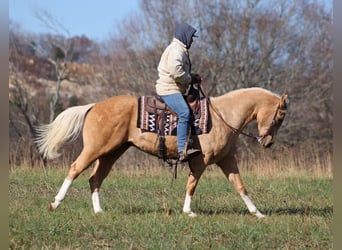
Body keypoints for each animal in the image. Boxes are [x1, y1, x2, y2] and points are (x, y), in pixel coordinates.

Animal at [34, 87, 288, 218]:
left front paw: (257, 213)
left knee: (95, 178)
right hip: (95, 149)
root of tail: (94, 106)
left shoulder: (226, 160)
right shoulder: (201, 161)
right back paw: (55, 204)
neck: (223, 116)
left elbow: (240, 186)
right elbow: (192, 184)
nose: (268, 143)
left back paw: (99, 211)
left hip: (111, 152)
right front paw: (188, 211)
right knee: (74, 169)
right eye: (279, 117)